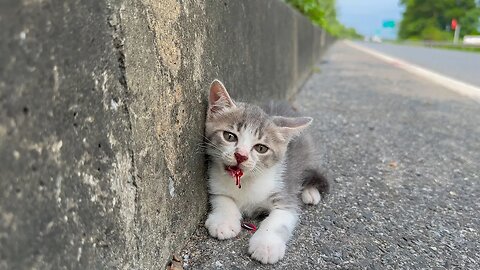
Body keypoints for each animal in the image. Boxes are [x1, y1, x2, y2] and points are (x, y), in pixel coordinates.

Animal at [204, 79, 328, 264]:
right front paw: (223, 222)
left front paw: (266, 245)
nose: (241, 156)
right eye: (229, 136)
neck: (246, 180)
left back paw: (310, 192)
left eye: (261, 148)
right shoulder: (216, 184)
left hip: (309, 153)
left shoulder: (285, 196)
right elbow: (223, 200)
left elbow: (277, 221)